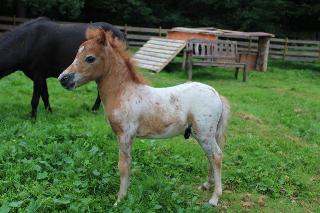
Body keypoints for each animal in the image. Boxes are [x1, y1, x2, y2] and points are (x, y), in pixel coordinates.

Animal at [58, 27, 230, 206]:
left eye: (90, 58)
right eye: (76, 54)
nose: (62, 79)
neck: (124, 93)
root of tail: (216, 94)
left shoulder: (125, 135)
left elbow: (123, 166)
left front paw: (120, 199)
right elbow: (128, 164)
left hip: (204, 134)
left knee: (216, 156)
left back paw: (214, 198)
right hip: (205, 135)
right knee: (211, 156)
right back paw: (206, 185)